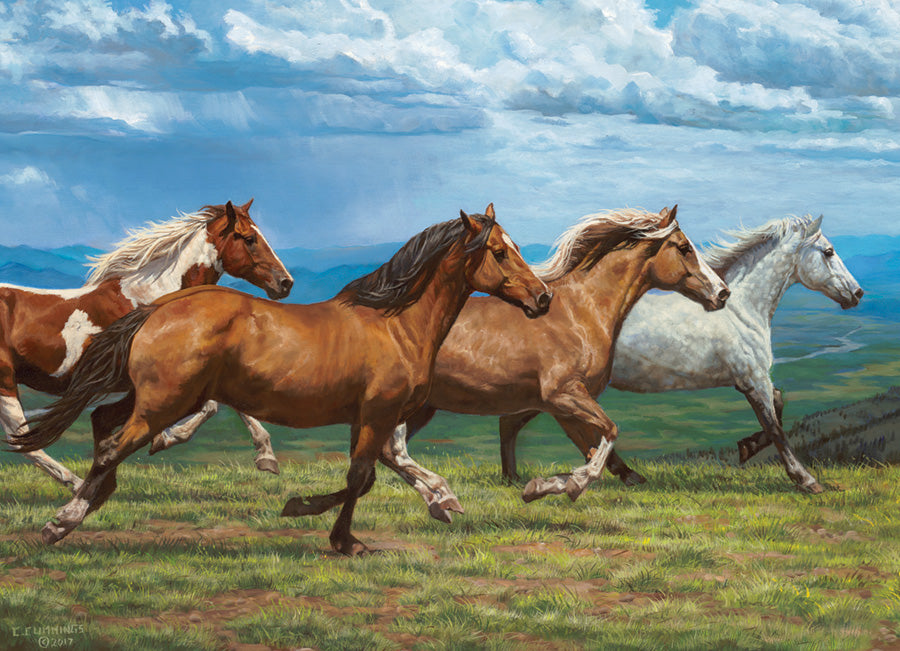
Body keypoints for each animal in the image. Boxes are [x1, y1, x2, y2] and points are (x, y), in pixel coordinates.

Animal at [1, 200, 293, 492]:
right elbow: (211, 406)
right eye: (250, 238)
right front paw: (165, 438)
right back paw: (77, 483)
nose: (286, 283)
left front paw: (266, 456)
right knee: (23, 441)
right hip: (6, 382)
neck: (156, 296)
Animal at [377, 205, 730, 519]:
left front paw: (535, 483)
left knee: (387, 452)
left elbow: (588, 444)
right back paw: (441, 499)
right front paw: (561, 485)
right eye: (684, 248)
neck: (579, 311)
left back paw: (439, 500)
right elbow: (607, 434)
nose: (722, 293)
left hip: (422, 408)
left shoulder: (549, 403)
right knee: (393, 450)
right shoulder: (563, 395)